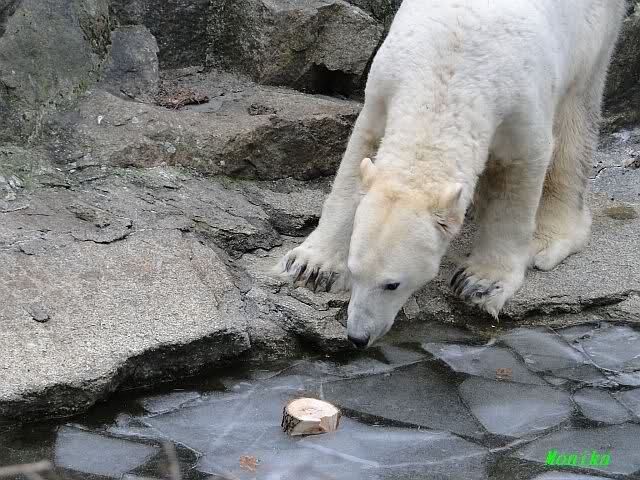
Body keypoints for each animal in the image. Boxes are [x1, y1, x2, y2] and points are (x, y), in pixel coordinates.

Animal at [274, 0, 627, 348]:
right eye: (354, 269)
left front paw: (480, 282)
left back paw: (548, 238)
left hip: (594, 31)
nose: (358, 337)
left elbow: (521, 175)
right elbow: (362, 149)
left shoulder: (522, 102)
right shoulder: (387, 79)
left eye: (392, 284)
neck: (451, 72)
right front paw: (310, 266)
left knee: (577, 111)